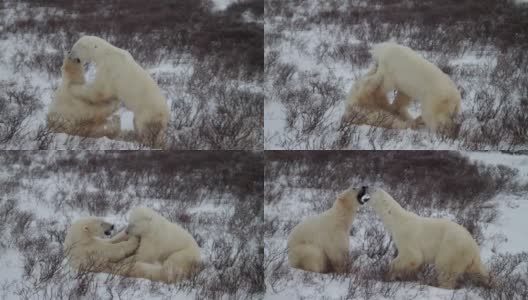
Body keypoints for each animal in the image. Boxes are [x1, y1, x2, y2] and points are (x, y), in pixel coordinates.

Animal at [64, 207, 200, 282]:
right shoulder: (90, 249)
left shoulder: (154, 238)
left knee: (171, 265)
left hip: (185, 253)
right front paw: (133, 242)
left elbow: (141, 253)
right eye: (101, 223)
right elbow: (112, 249)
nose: (112, 226)